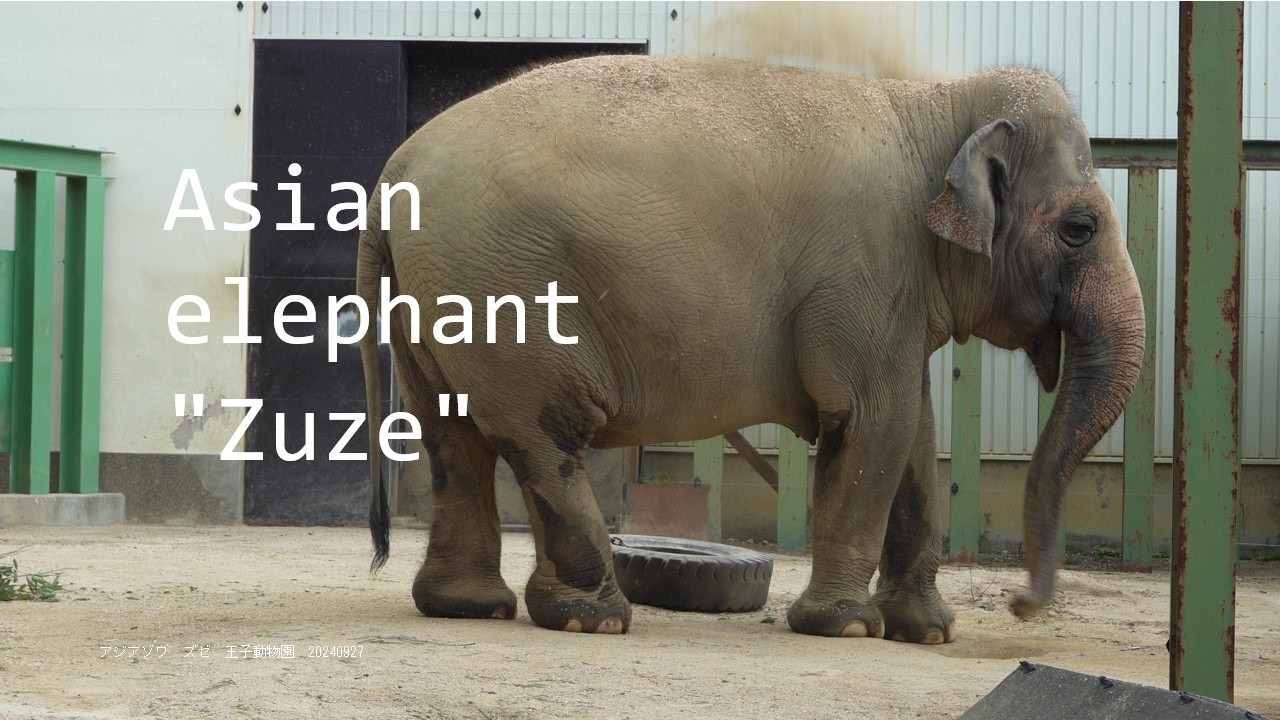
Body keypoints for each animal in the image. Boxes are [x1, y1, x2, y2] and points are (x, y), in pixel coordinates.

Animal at [356, 54, 1145, 642]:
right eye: (1079, 229)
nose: (1021, 605)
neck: (938, 105)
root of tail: (393, 172)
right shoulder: (866, 268)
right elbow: (873, 423)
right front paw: (848, 628)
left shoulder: (892, 292)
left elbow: (917, 435)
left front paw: (928, 632)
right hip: (507, 291)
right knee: (544, 435)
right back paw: (593, 618)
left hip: (439, 298)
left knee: (452, 436)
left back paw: (470, 607)